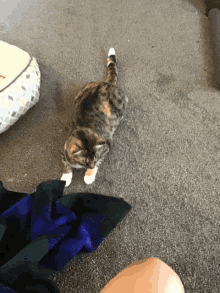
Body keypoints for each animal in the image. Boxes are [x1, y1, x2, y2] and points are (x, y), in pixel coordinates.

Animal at [60, 47, 128, 186]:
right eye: (85, 161)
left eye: (95, 158)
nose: (90, 166)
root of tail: (106, 83)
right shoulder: (65, 149)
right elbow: (65, 164)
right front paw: (65, 177)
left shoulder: (106, 145)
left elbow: (100, 159)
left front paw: (89, 176)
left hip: (121, 104)